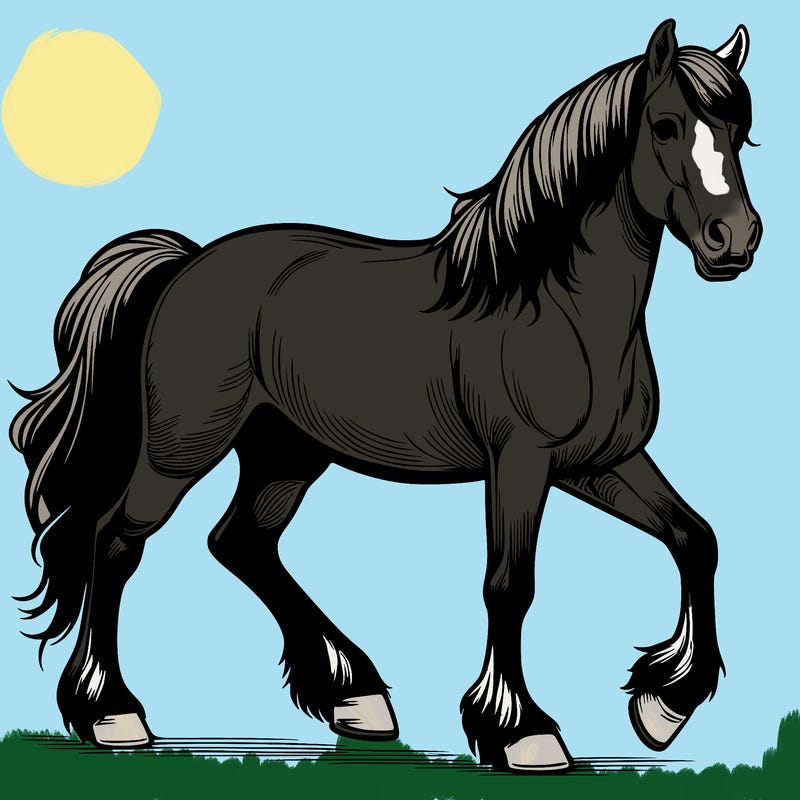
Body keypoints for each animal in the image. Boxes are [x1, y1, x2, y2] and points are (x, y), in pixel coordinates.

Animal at [10, 19, 760, 773]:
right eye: (665, 125)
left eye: (741, 130)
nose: (736, 239)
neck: (556, 306)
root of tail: (186, 264)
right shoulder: (521, 462)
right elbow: (509, 585)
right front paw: (522, 732)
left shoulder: (599, 462)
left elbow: (696, 538)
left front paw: (664, 706)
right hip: (181, 449)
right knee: (116, 541)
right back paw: (113, 715)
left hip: (286, 453)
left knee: (241, 542)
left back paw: (355, 697)